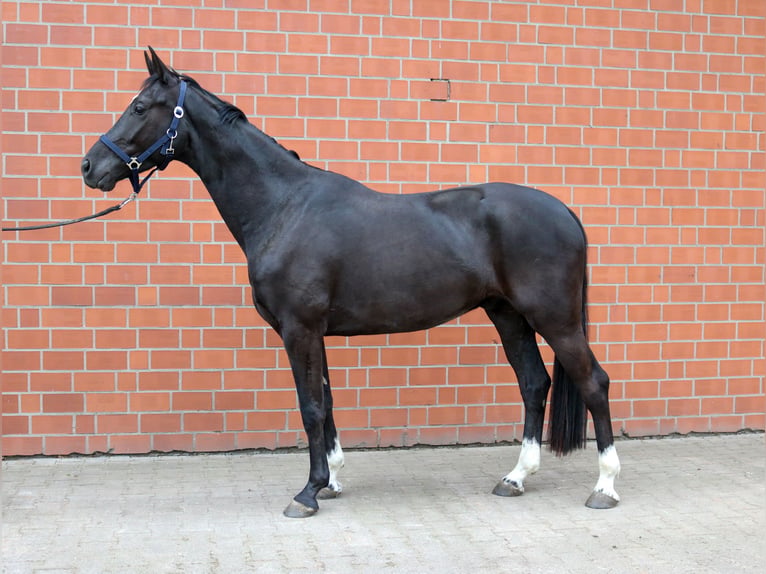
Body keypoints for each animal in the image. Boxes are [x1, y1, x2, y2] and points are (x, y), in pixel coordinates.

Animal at [81, 48, 621, 518]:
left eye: (139, 107)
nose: (90, 166)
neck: (284, 207)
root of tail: (564, 211)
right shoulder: (312, 332)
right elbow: (327, 402)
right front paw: (332, 480)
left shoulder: (299, 330)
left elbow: (310, 407)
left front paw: (307, 493)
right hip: (507, 315)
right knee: (534, 383)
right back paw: (515, 478)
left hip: (555, 319)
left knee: (593, 383)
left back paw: (604, 487)